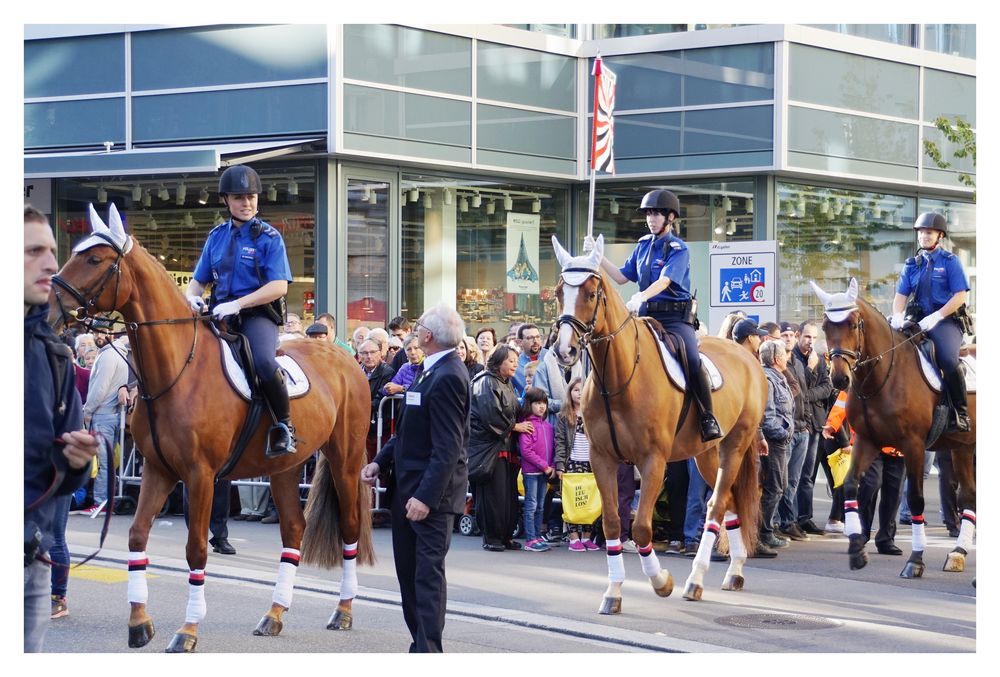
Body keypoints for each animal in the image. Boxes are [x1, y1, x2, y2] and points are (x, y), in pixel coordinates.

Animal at [50, 205, 374, 648]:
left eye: (96, 259)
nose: (51, 306)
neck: (177, 370)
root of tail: (343, 358)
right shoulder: (158, 470)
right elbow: (136, 536)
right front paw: (139, 622)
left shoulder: (200, 476)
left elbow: (196, 550)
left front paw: (187, 631)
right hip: (285, 468)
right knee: (293, 530)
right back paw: (274, 614)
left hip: (345, 459)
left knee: (350, 527)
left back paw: (342, 610)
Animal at [552, 235, 760, 608]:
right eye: (560, 292)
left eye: (590, 293)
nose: (565, 351)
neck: (618, 377)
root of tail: (748, 355)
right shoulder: (602, 459)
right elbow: (613, 524)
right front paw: (613, 590)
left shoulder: (653, 461)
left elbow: (641, 528)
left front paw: (660, 581)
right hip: (706, 454)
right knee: (729, 504)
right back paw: (734, 571)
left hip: (734, 446)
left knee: (715, 507)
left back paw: (695, 580)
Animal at [812, 278, 976, 580]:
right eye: (826, 326)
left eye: (852, 324)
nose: (839, 378)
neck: (884, 375)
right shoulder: (867, 441)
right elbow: (851, 486)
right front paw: (857, 547)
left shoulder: (913, 446)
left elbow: (915, 499)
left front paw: (916, 559)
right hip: (962, 447)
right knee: (969, 497)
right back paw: (958, 553)